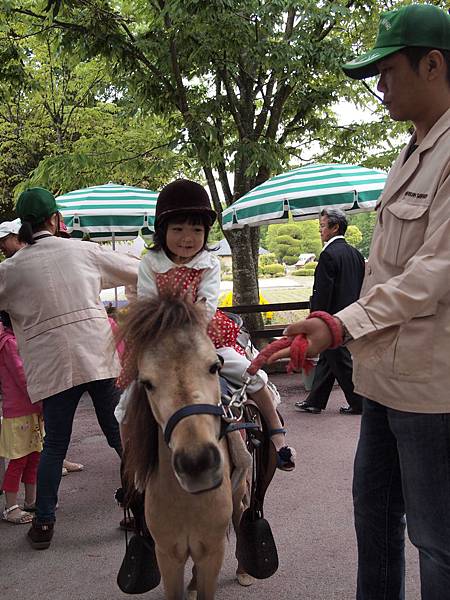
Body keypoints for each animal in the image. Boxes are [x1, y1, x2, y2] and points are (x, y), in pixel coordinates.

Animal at [119, 296, 253, 600]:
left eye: (214, 366)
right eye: (147, 383)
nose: (197, 463)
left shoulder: (212, 553)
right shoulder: (168, 555)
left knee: (241, 515)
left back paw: (243, 570)